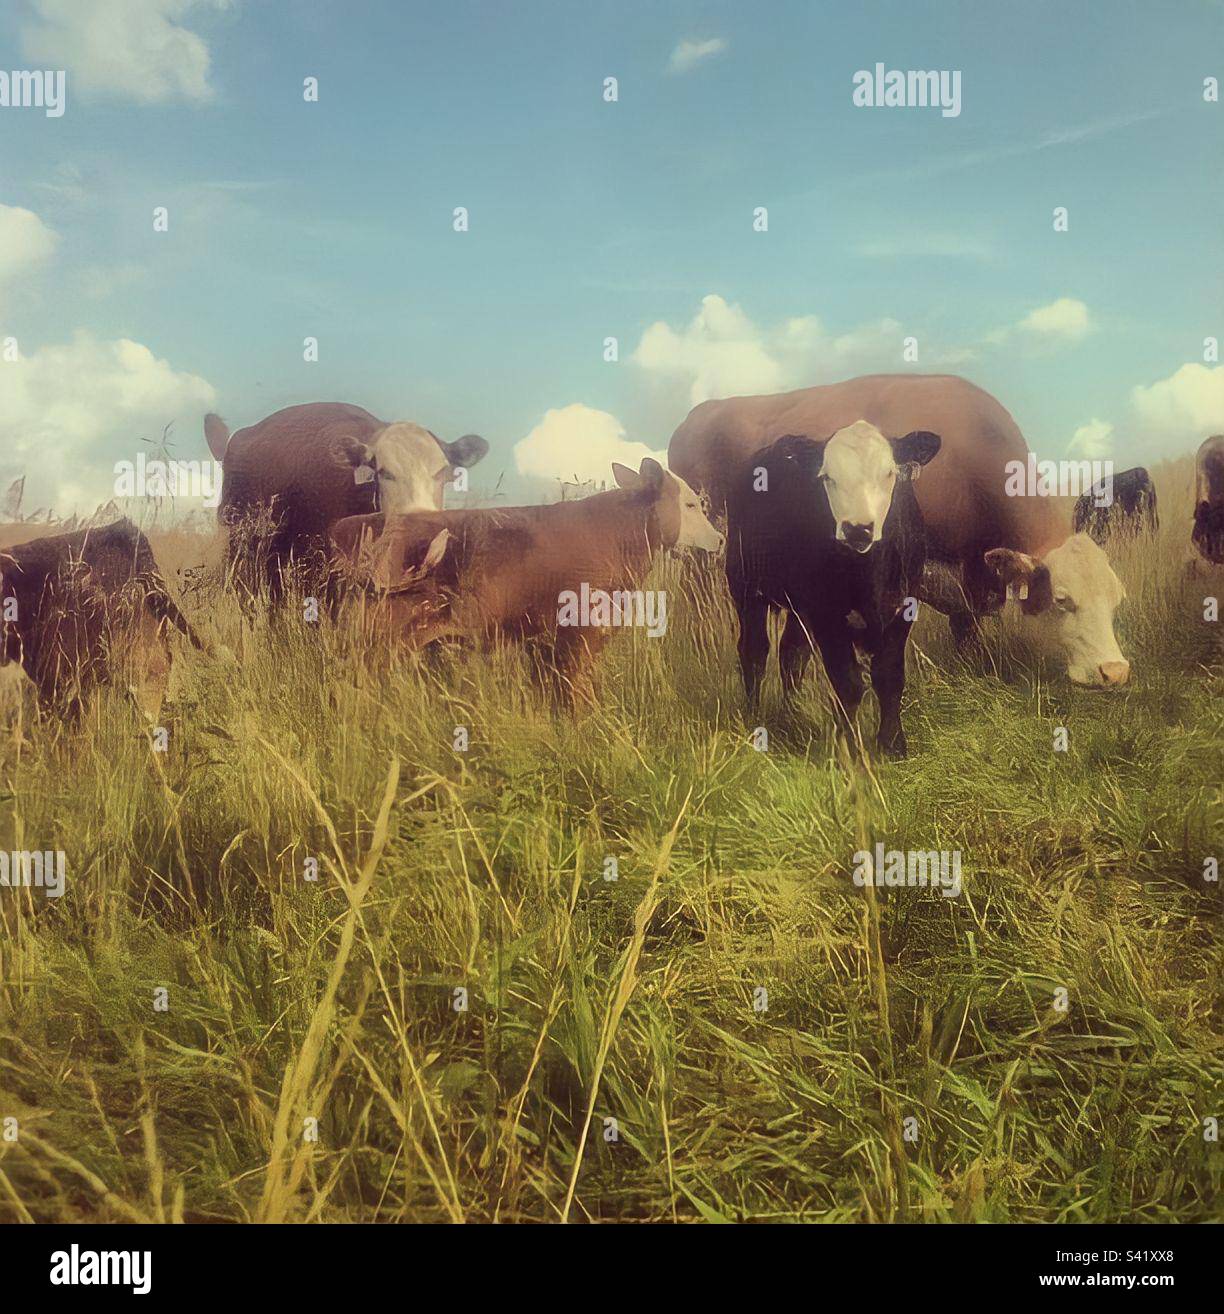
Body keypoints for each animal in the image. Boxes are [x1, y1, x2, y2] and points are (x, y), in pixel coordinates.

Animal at [330, 458, 723, 706]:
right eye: (690, 505)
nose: (720, 539)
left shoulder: (545, 642)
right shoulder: (580, 635)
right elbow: (579, 695)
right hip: (379, 641)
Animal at [726, 422, 940, 757]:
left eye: (889, 473)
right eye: (827, 477)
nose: (857, 528)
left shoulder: (904, 606)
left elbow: (890, 677)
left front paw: (892, 746)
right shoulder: (826, 613)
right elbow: (848, 683)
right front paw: (849, 751)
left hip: (798, 605)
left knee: (792, 654)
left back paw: (793, 714)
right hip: (745, 586)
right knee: (754, 651)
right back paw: (753, 715)